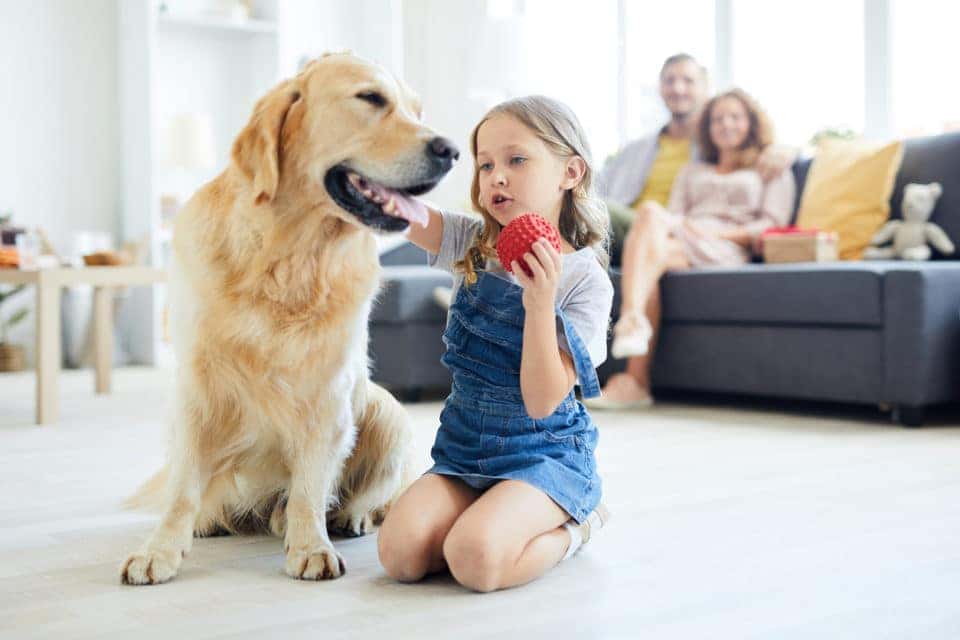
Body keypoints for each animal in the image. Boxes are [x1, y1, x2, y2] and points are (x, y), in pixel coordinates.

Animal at [120, 53, 458, 584]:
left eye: (416, 110)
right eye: (371, 98)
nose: (452, 150)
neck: (289, 257)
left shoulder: (329, 393)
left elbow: (309, 485)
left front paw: (311, 545)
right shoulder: (197, 387)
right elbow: (182, 488)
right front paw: (160, 550)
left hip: (385, 413)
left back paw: (343, 517)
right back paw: (212, 520)